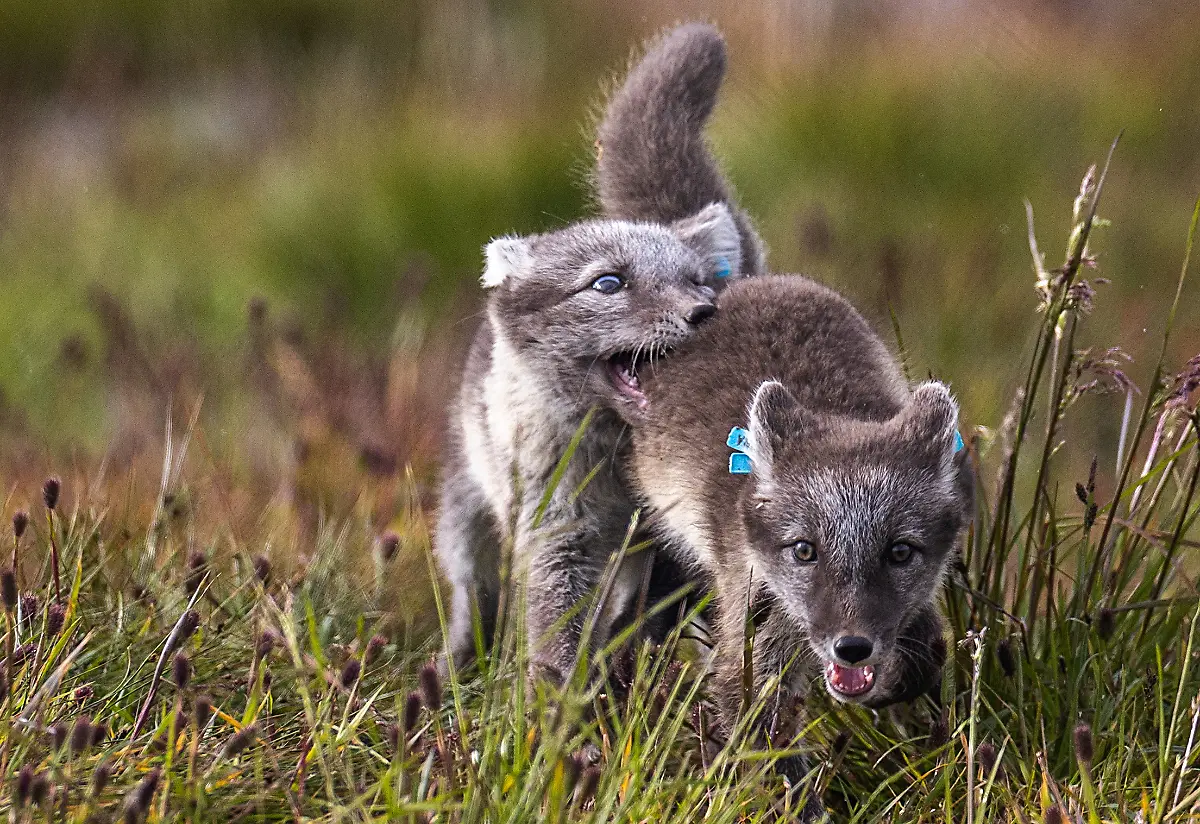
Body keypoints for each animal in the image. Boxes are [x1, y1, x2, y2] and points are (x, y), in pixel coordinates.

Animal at [592, 22, 970, 816]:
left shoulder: (913, 610)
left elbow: (928, 652)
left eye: (901, 552)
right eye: (804, 551)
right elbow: (765, 750)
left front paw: (891, 683)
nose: (852, 646)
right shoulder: (753, 635)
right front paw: (799, 805)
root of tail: (734, 284)